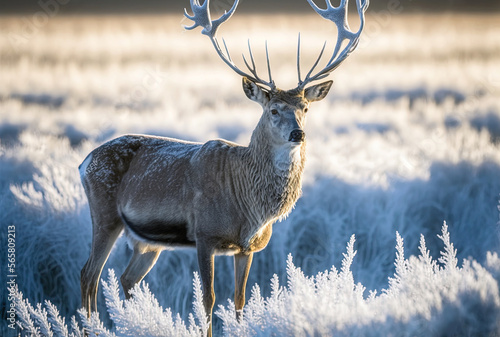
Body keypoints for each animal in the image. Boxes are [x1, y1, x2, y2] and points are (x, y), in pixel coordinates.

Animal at [78, 0, 368, 334]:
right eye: (273, 110)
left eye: (305, 108)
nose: (298, 134)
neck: (249, 206)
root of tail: (85, 161)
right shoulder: (205, 234)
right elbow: (209, 299)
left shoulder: (248, 248)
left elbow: (240, 300)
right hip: (104, 213)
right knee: (89, 274)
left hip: (147, 242)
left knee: (127, 279)